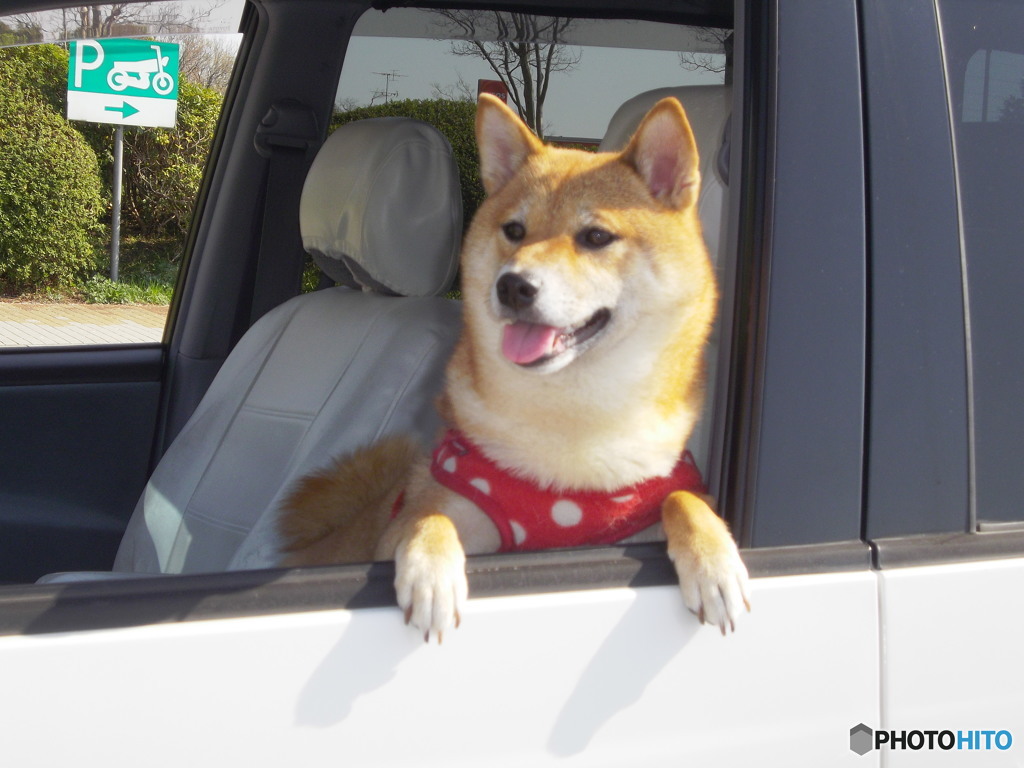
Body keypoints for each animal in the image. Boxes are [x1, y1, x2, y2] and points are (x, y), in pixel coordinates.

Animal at [280, 93, 753, 638]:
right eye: (515, 230)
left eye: (596, 236)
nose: (512, 285)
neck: (572, 436)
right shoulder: (432, 507)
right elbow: (427, 517)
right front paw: (431, 575)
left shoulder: (651, 499)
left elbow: (685, 501)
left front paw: (716, 562)